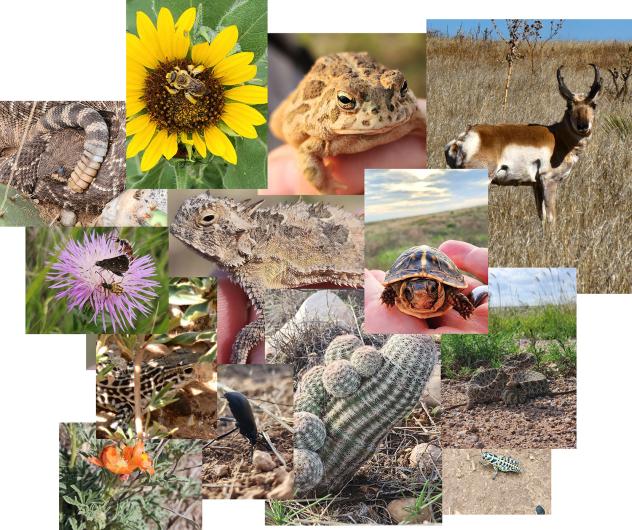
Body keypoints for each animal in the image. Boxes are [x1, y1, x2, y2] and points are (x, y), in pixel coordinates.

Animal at [444, 64, 604, 223]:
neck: (558, 137)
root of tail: (464, 138)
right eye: (569, 105)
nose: (583, 126)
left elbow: (542, 216)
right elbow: (551, 218)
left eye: (594, 104)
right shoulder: (549, 181)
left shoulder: (536, 185)